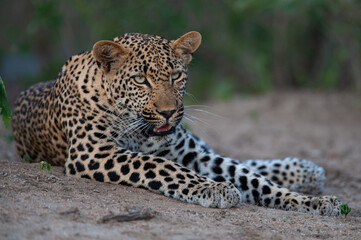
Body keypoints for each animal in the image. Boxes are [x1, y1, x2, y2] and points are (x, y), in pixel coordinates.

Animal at [11, 31, 342, 216]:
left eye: (176, 76)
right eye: (140, 80)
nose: (169, 112)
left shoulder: (189, 153)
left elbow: (248, 176)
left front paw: (316, 203)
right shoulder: (94, 154)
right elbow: (161, 166)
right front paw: (215, 189)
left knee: (236, 159)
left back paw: (305, 171)